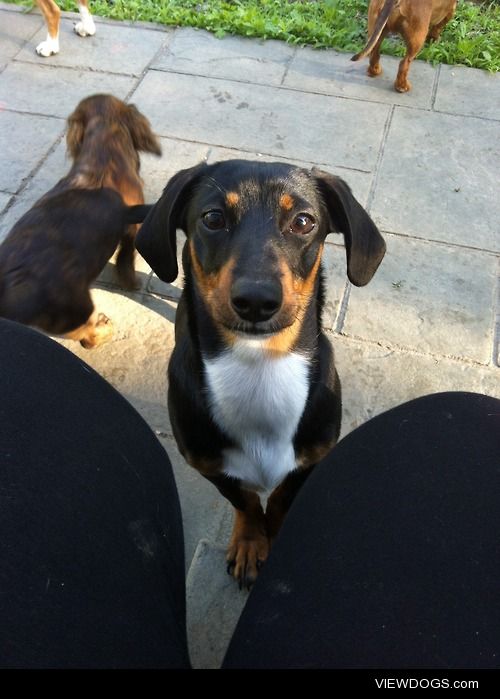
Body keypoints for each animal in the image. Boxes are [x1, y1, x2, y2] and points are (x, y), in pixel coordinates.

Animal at [0, 95, 160, 350]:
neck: (103, 154)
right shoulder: (131, 225)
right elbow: (127, 254)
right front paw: (130, 280)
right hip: (74, 313)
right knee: (87, 337)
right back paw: (104, 328)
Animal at [137, 160, 386, 592]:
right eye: (213, 218)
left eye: (303, 221)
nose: (256, 300)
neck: (259, 366)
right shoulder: (209, 464)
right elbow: (247, 502)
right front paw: (252, 542)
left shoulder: (312, 457)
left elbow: (282, 497)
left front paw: (276, 533)